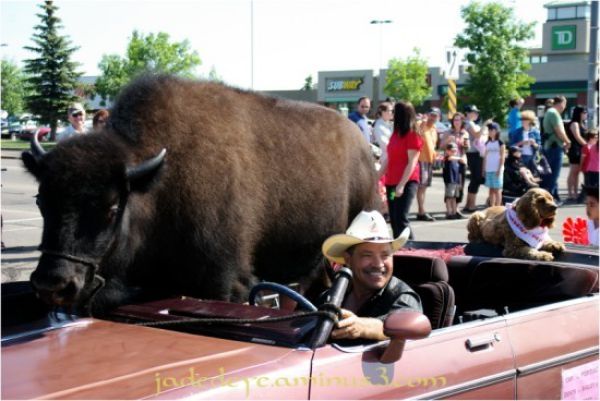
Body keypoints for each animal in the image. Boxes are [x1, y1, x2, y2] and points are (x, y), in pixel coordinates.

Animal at [24, 73, 380, 314]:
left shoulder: (225, 281)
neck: (158, 183)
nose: (53, 284)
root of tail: (362, 143)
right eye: (41, 201)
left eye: (112, 209)